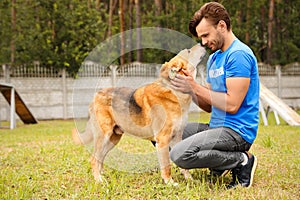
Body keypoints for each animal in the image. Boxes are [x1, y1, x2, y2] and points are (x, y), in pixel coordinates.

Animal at [72, 44, 206, 185]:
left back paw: (101, 176)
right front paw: (170, 183)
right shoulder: (163, 139)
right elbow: (167, 166)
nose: (202, 44)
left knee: (100, 159)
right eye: (189, 51)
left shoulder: (177, 138)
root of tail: (95, 96)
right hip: (104, 135)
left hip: (113, 139)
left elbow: (182, 164)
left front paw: (189, 179)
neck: (174, 91)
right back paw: (99, 181)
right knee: (94, 159)